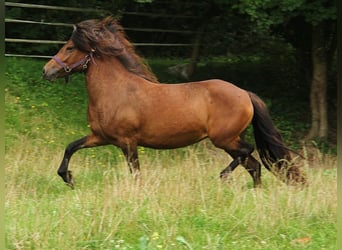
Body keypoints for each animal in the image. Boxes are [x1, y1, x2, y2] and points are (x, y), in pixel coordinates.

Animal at [41, 17, 306, 188]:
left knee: (247, 152)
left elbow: (135, 174)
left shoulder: (128, 142)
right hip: (229, 140)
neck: (116, 91)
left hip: (224, 138)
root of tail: (244, 93)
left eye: (70, 47)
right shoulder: (101, 137)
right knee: (254, 166)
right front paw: (68, 178)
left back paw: (222, 176)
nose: (47, 71)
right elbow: (71, 147)